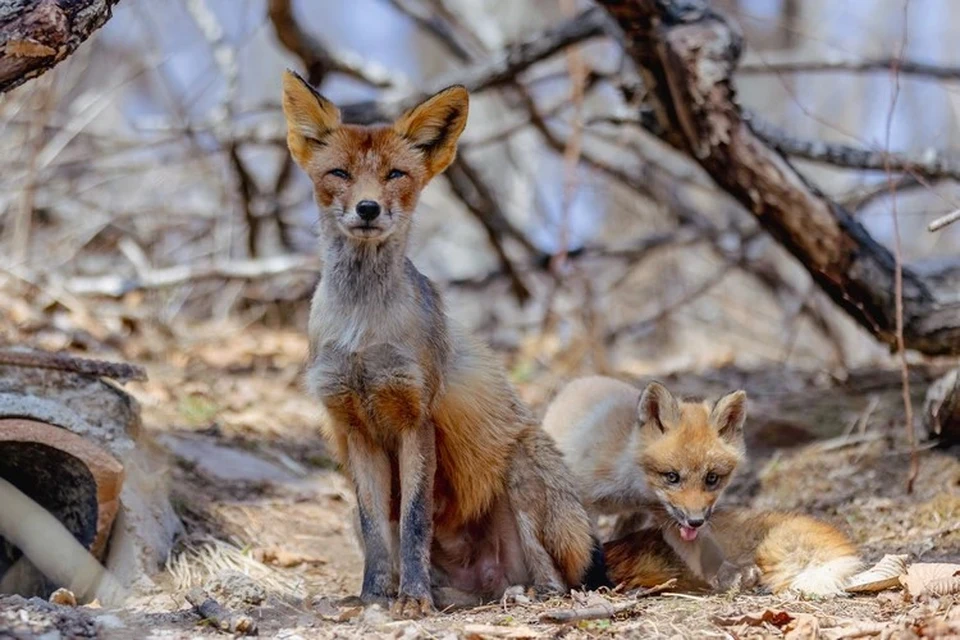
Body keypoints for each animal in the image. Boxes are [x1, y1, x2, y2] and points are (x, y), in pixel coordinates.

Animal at [280, 72, 608, 616]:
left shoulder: (416, 418)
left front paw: (412, 600)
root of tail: (489, 579)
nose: (367, 208)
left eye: (394, 174)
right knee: (466, 588)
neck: (362, 330)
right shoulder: (355, 428)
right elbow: (377, 529)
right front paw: (374, 597)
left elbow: (416, 520)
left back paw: (524, 595)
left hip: (523, 474)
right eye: (339, 174)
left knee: (558, 581)